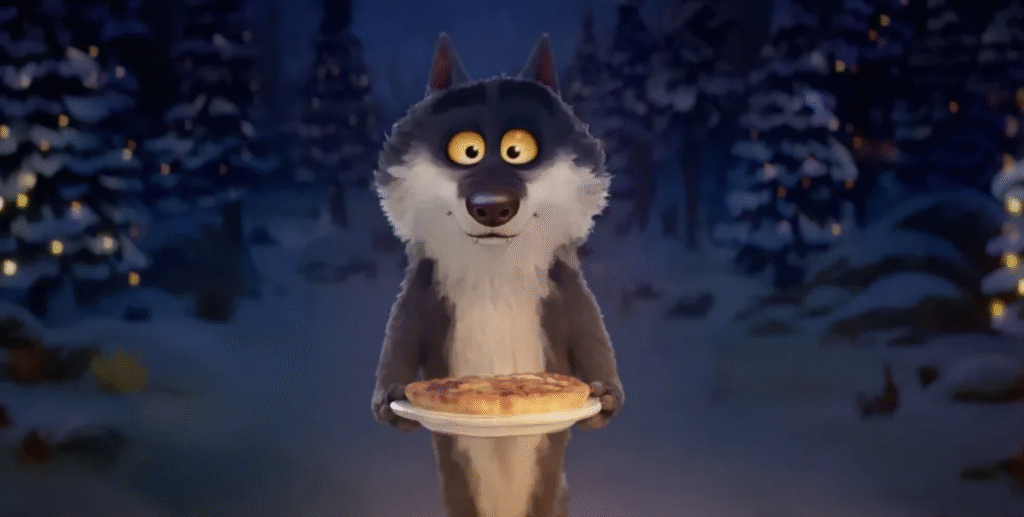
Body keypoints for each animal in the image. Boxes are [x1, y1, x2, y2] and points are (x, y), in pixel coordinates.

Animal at [371, 33, 624, 517]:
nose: (492, 206)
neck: (494, 272)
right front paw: (389, 400)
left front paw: (605, 396)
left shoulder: (565, 288)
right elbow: (401, 332)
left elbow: (591, 332)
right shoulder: (423, 288)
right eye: (466, 151)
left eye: (517, 150)